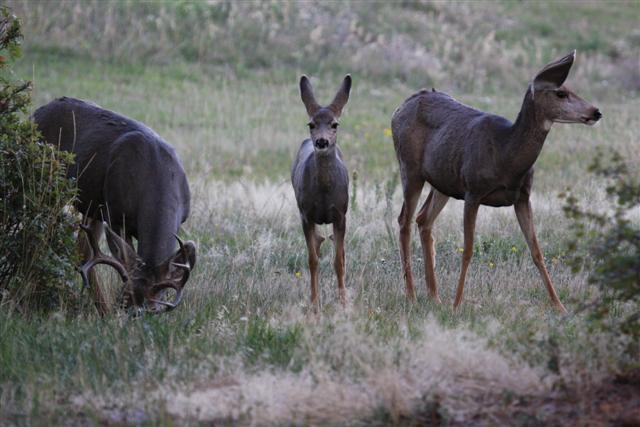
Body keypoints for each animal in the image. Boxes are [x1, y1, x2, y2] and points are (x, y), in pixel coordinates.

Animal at [33, 98, 195, 316]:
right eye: (124, 296)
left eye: (153, 307)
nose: (129, 313)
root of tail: (36, 112)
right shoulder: (116, 216)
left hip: (92, 205)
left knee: (83, 250)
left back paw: (100, 309)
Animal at [292, 74, 352, 310]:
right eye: (311, 124)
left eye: (335, 124)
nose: (321, 141)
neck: (325, 193)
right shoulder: (306, 215)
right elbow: (312, 260)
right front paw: (314, 302)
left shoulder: (341, 214)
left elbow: (339, 261)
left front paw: (343, 301)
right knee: (317, 244)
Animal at [392, 51, 604, 314]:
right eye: (561, 93)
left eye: (572, 88)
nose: (596, 112)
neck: (506, 155)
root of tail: (398, 109)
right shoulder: (473, 191)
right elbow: (468, 250)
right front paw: (457, 304)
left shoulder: (523, 196)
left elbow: (536, 251)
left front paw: (560, 306)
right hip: (410, 168)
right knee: (404, 221)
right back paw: (412, 295)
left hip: (443, 182)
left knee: (423, 220)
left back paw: (434, 296)